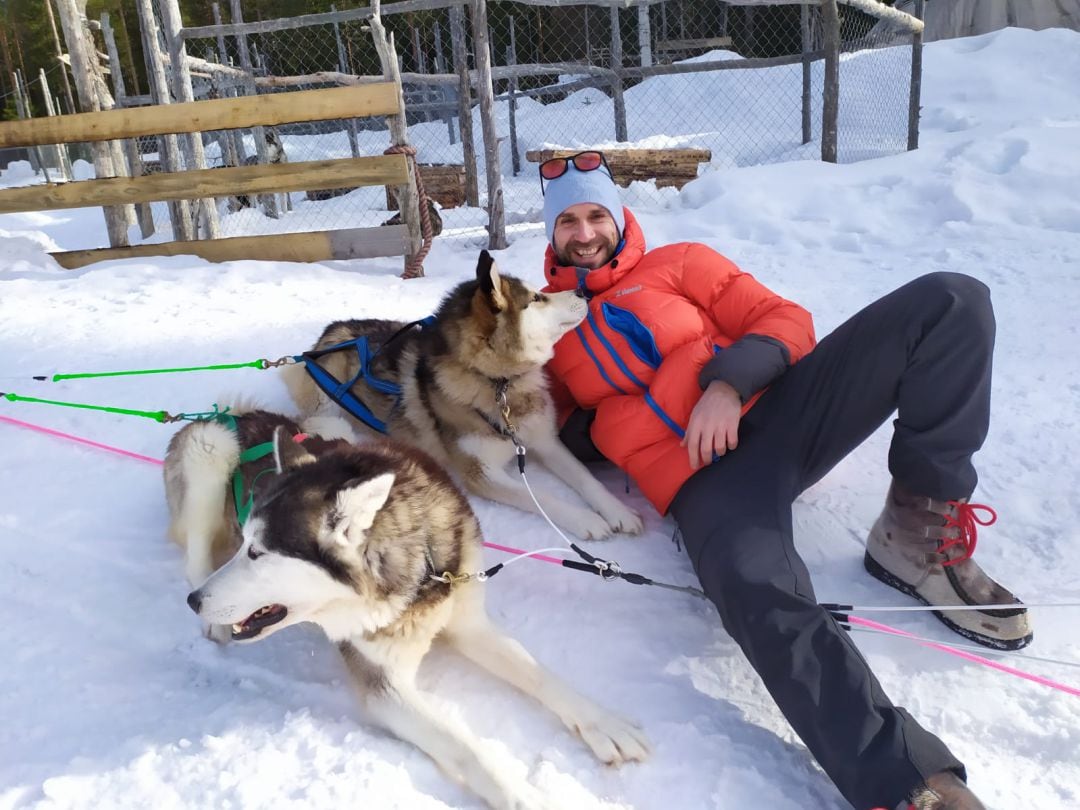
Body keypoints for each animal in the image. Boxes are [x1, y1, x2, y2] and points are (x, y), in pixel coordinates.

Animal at [162, 412, 648, 810]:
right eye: (247, 545)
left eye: (258, 553)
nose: (194, 602)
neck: (419, 577)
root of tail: (234, 413)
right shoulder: (385, 684)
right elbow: (468, 747)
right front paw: (526, 796)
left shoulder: (467, 622)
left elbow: (536, 672)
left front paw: (603, 724)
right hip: (209, 446)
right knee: (194, 555)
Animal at [282, 252, 643, 546]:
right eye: (536, 298)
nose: (583, 292)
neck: (498, 385)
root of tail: (331, 331)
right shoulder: (480, 472)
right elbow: (542, 497)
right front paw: (586, 520)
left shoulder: (544, 441)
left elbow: (586, 478)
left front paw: (618, 511)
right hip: (327, 400)